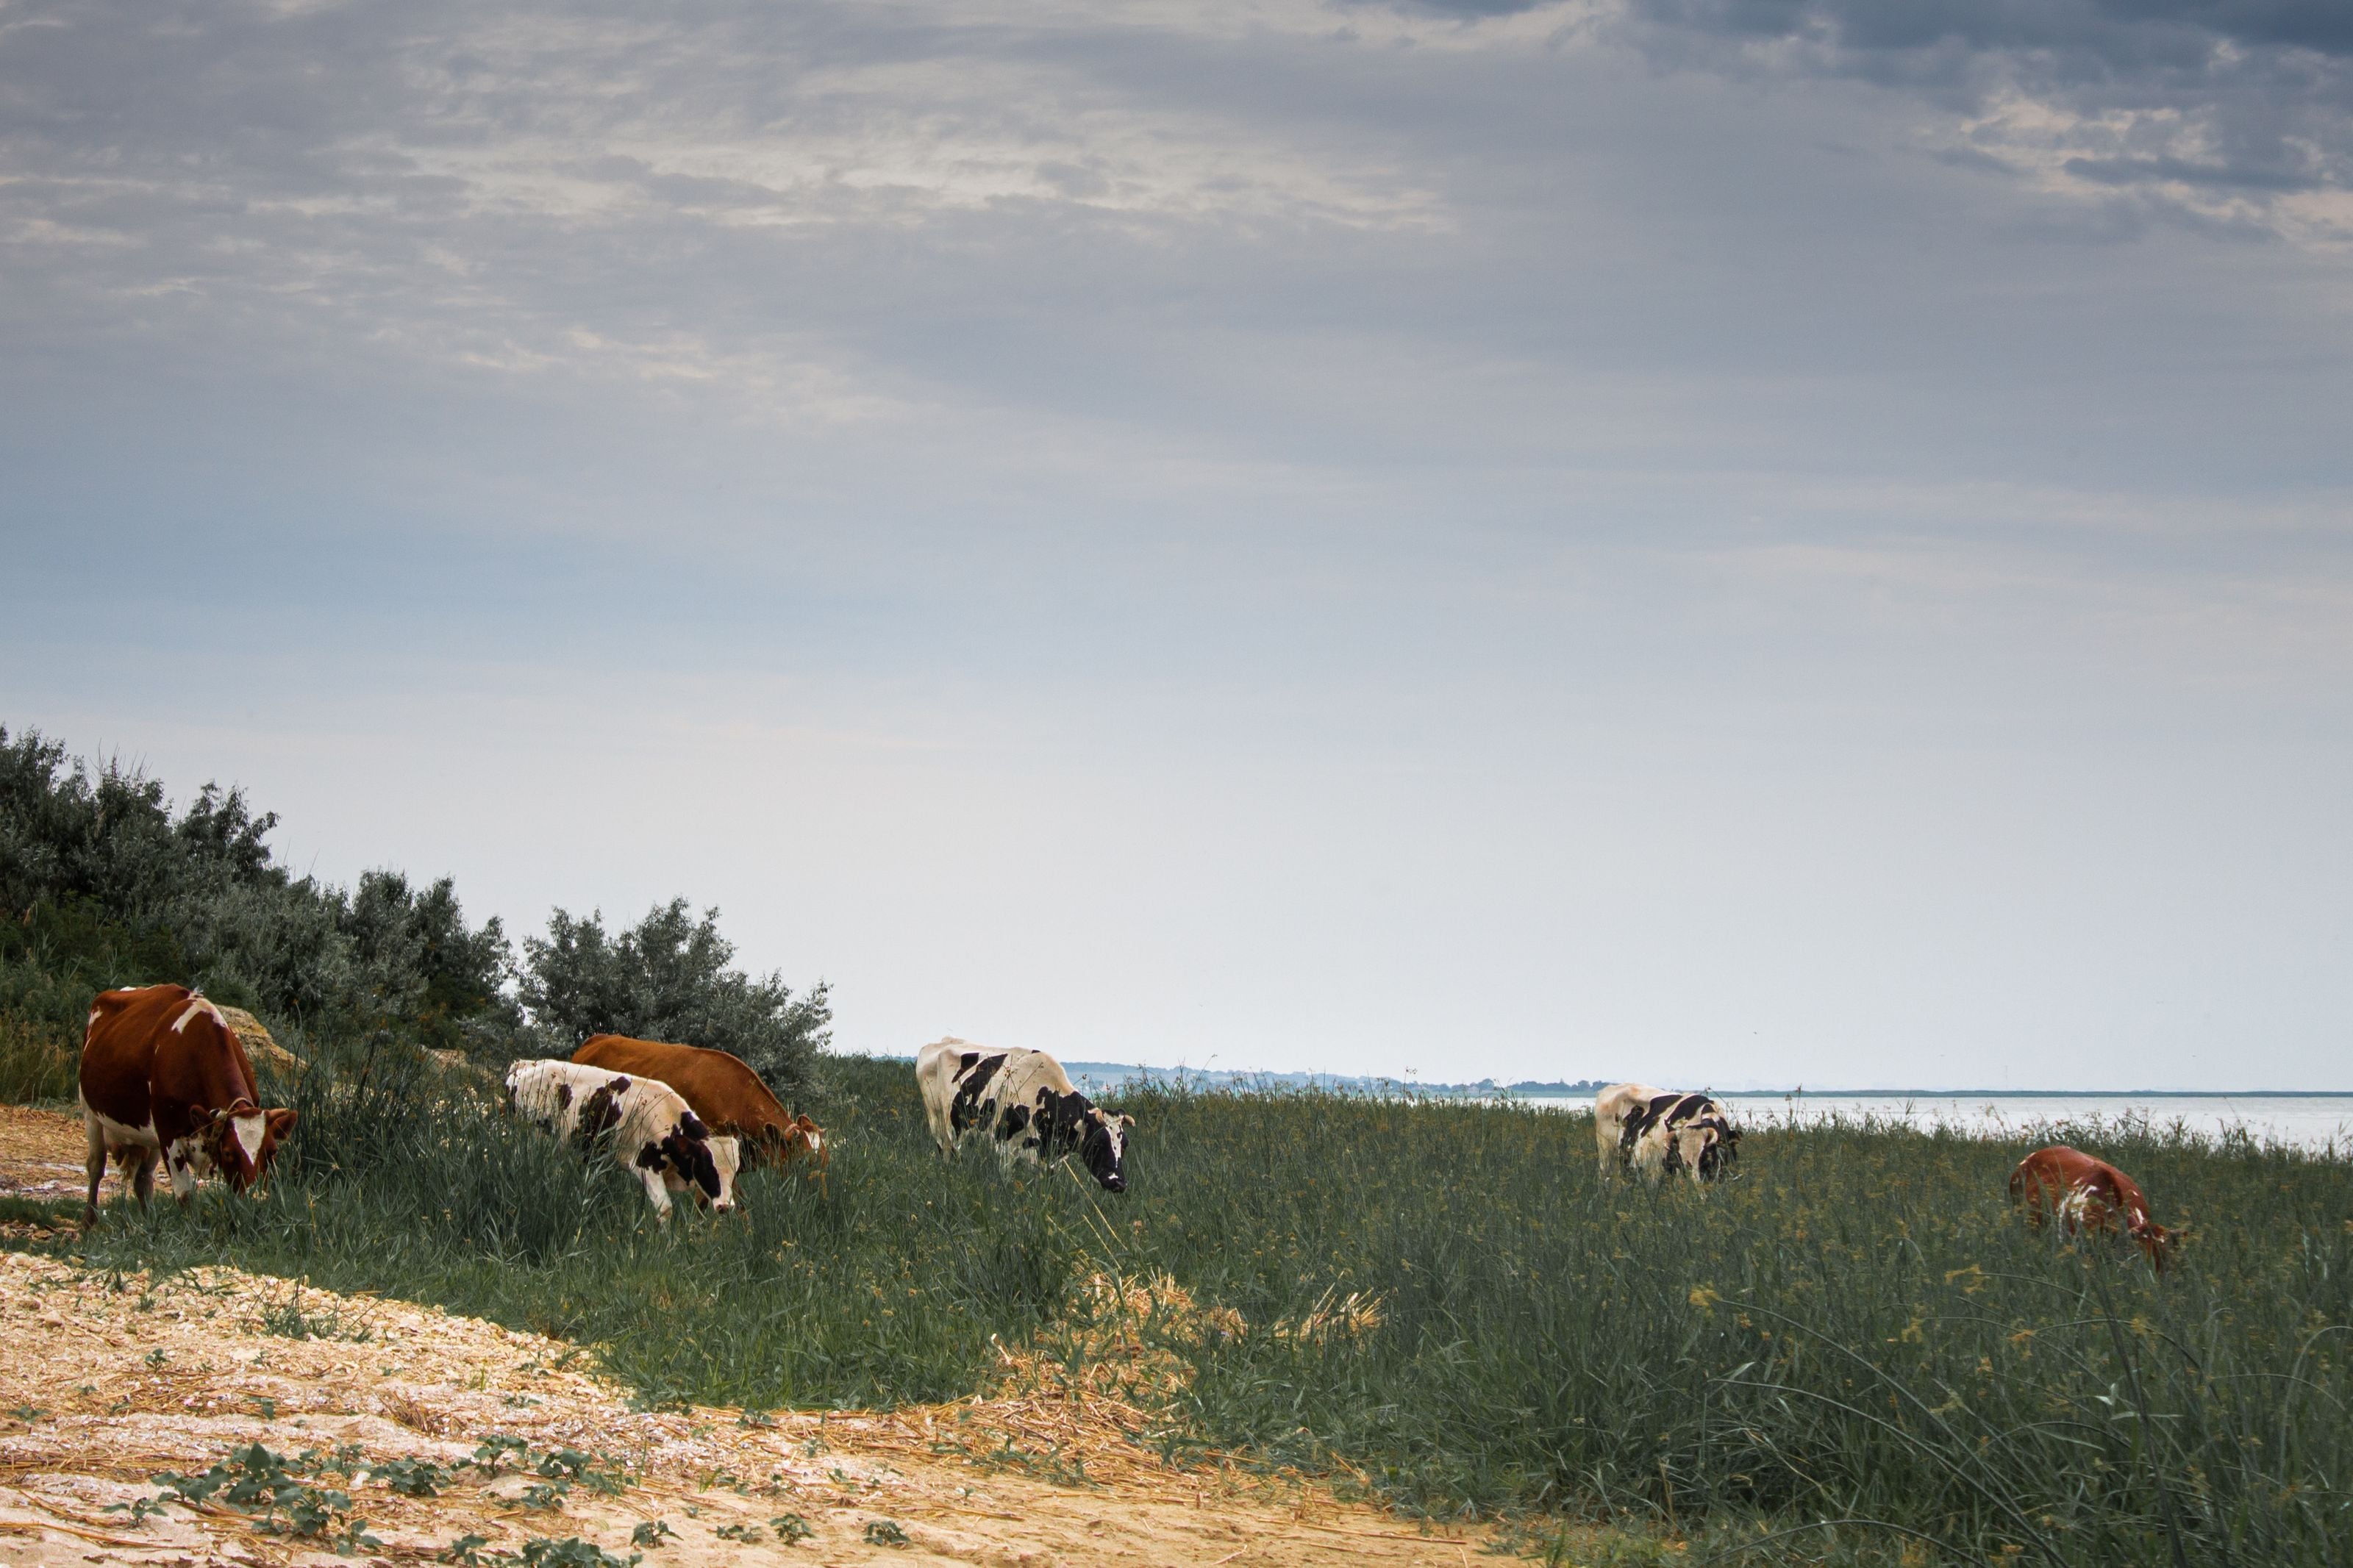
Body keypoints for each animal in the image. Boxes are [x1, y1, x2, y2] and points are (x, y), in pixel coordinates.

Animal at [77, 984, 298, 1222]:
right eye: (228, 1153)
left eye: (273, 1151)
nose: (255, 1201)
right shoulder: (169, 1134)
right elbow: (185, 1197)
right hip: (90, 1113)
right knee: (96, 1165)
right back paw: (88, 1221)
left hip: (149, 1135)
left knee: (143, 1179)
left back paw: (149, 1220)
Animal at [503, 1059, 740, 1220]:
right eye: (708, 1168)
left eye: (735, 1172)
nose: (726, 1207)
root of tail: (526, 1065)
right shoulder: (646, 1165)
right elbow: (665, 1209)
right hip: (528, 1136)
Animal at [915, 1037, 1132, 1193]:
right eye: (1097, 1143)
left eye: (1124, 1145)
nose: (1119, 1184)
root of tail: (942, 1041)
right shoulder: (1005, 1148)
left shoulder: (1050, 1160)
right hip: (938, 1124)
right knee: (947, 1155)